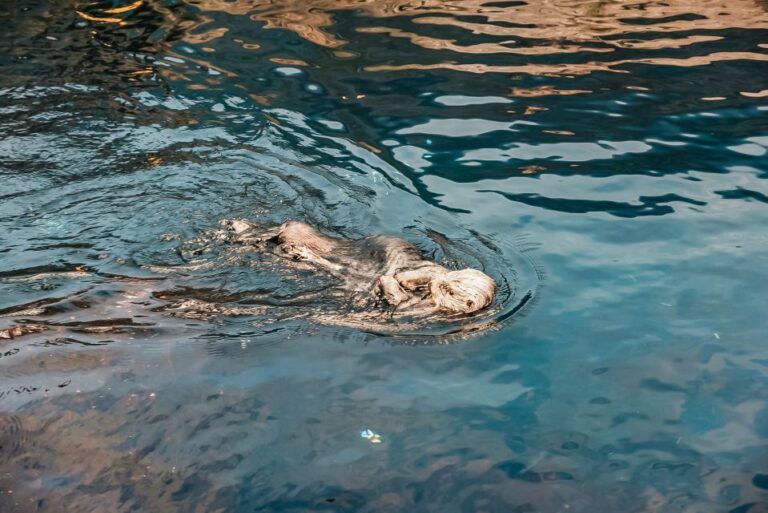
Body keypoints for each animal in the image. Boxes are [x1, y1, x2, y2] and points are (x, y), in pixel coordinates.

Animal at [225, 219, 496, 316]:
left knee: (287, 243)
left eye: (449, 291)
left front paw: (389, 280)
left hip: (299, 245)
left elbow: (397, 297)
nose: (437, 285)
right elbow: (428, 269)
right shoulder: (433, 269)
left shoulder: (414, 307)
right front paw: (406, 277)